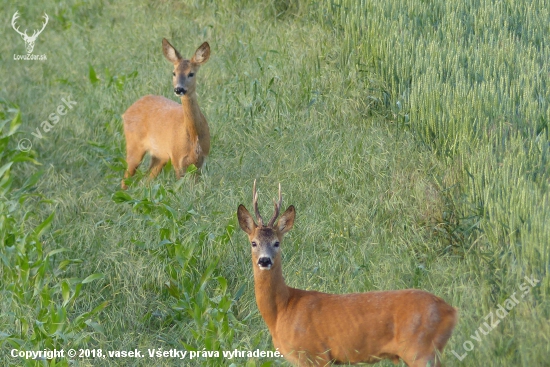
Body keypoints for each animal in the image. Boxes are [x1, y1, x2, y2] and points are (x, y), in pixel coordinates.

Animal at [122, 40, 210, 190]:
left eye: (191, 73)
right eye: (174, 73)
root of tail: (127, 111)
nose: (179, 89)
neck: (193, 136)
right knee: (126, 178)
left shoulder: (200, 161)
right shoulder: (177, 158)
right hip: (134, 145)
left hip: (160, 156)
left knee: (146, 180)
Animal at [237, 183, 458, 366]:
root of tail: (451, 311)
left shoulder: (315, 355)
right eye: (253, 243)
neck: (282, 310)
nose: (264, 260)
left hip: (420, 349)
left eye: (277, 243)